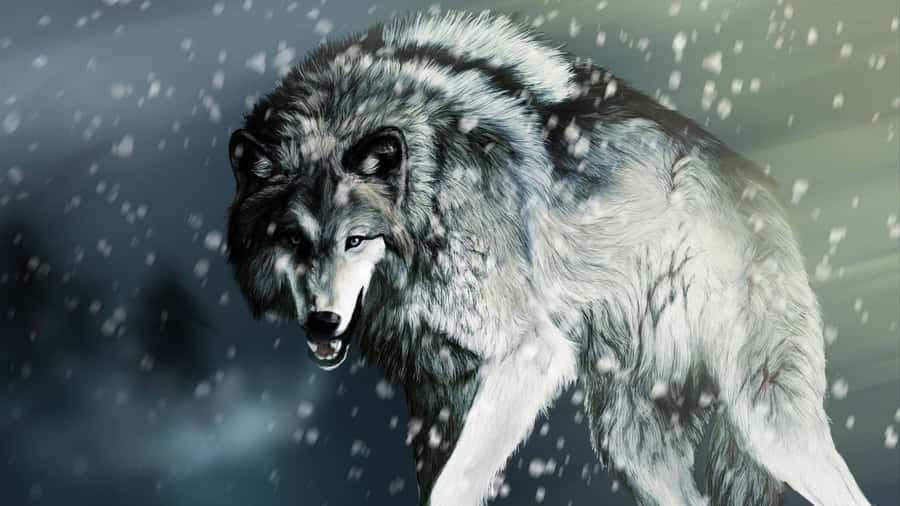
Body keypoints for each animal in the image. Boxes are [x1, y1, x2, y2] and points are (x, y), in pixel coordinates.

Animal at [225, 10, 870, 506]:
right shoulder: (436, 396)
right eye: (293, 240)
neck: (429, 189)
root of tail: (761, 185)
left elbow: (454, 485)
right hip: (630, 446)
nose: (322, 322)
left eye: (355, 240)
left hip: (767, 422)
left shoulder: (528, 352)